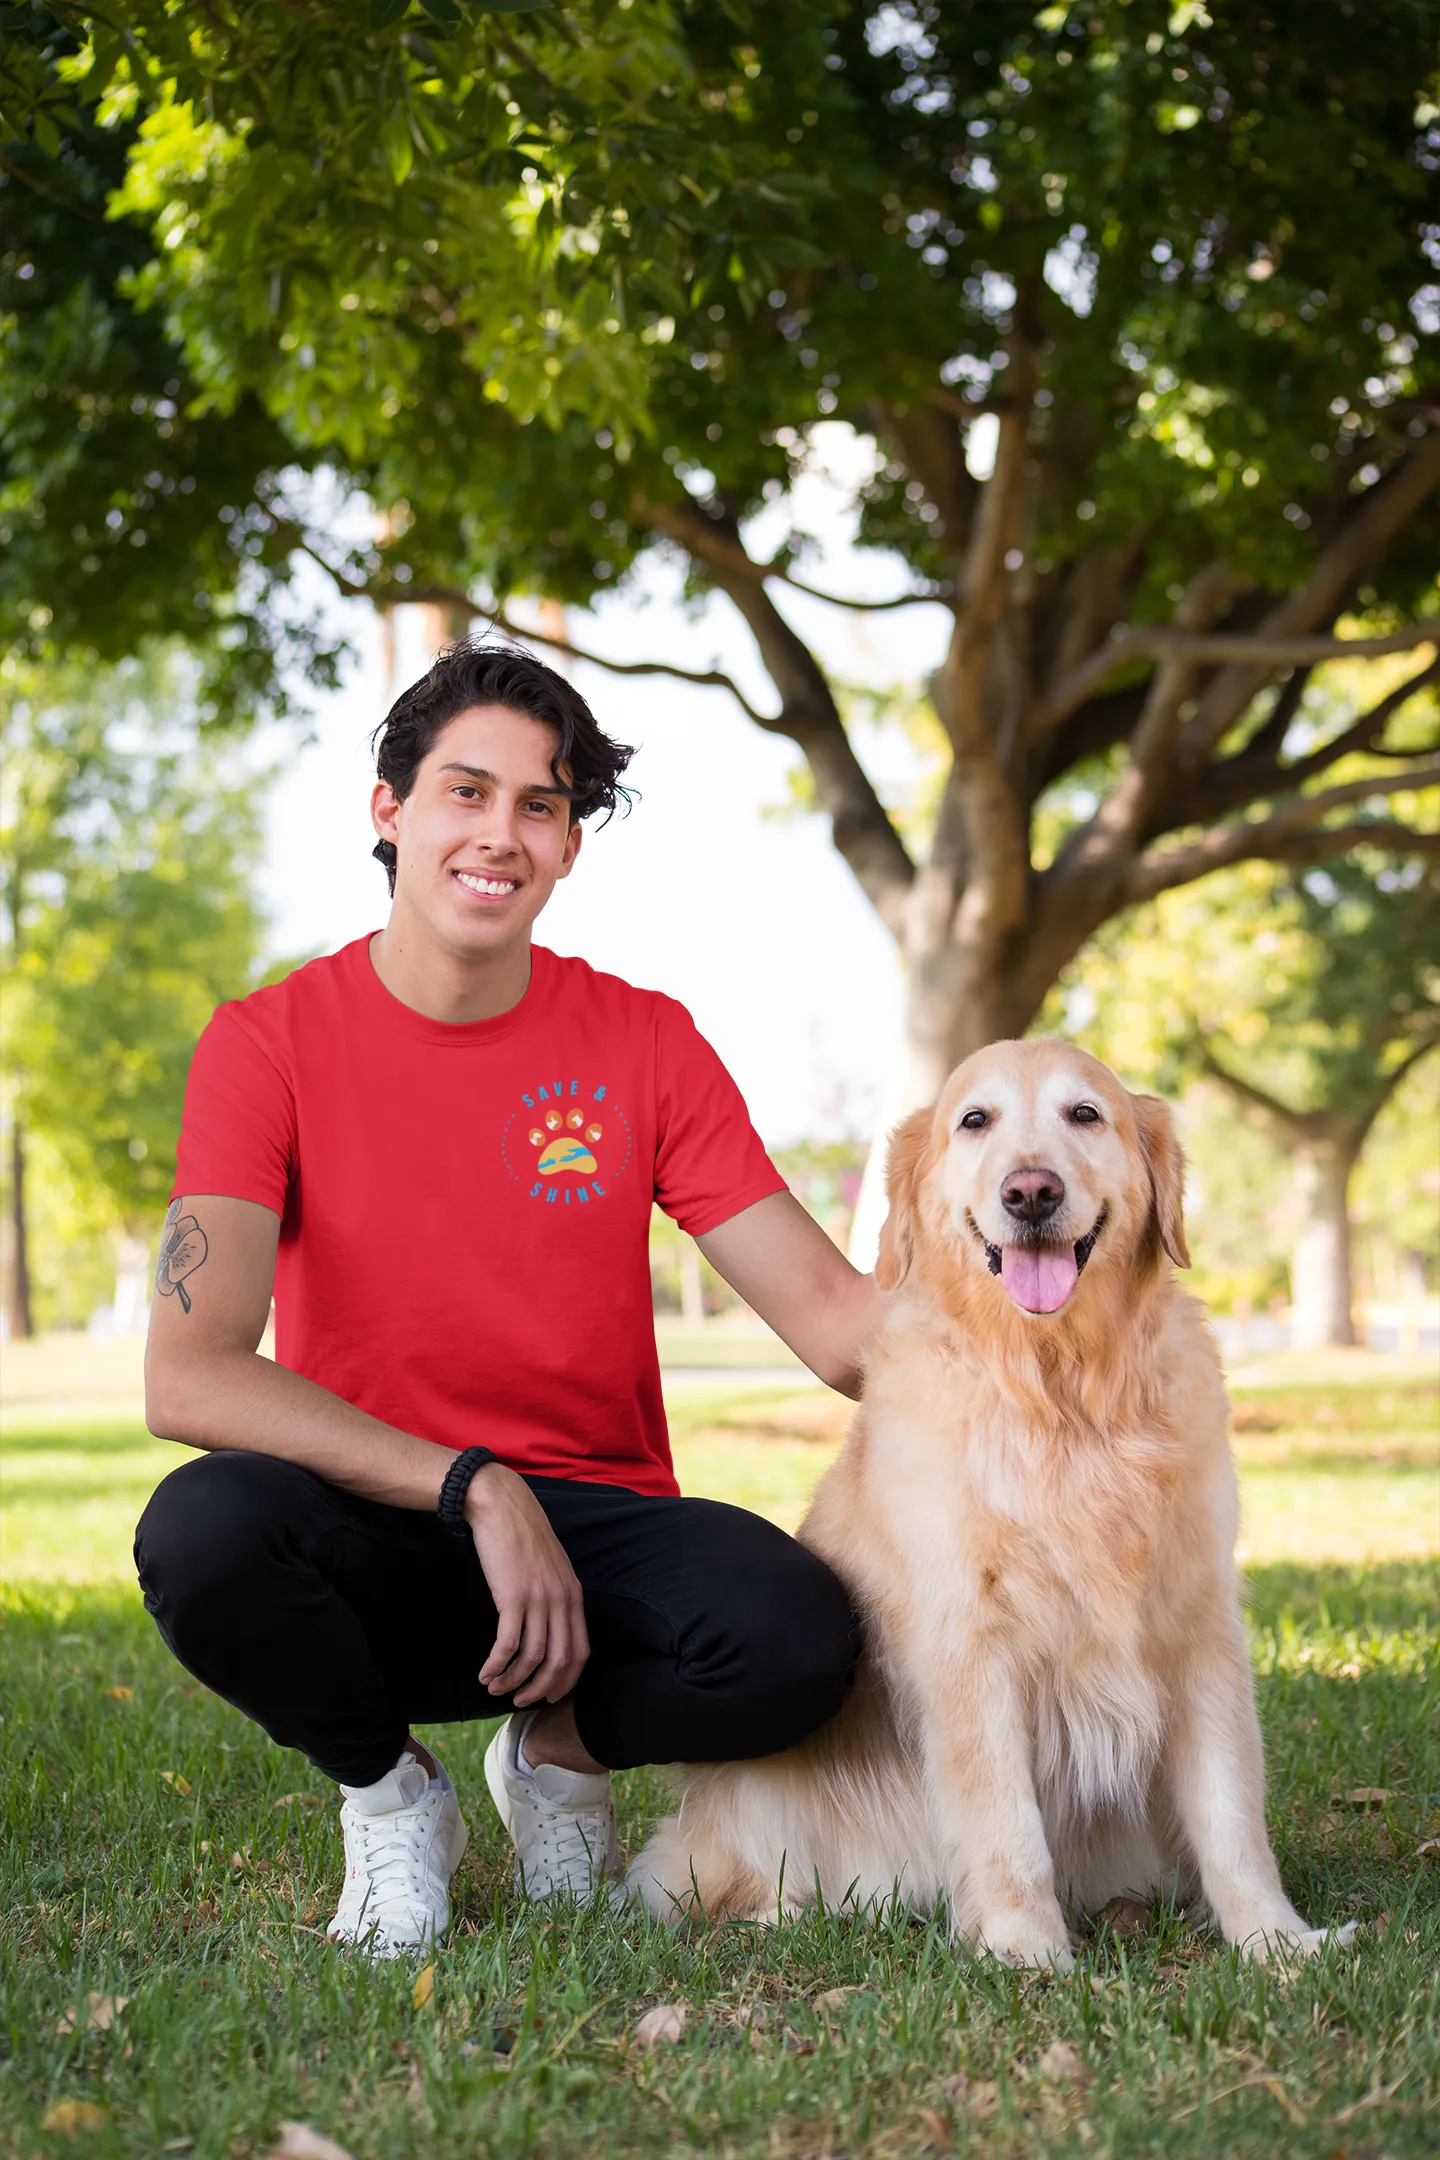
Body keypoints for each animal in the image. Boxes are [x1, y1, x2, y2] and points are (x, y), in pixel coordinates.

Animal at [630, 1036, 1355, 1969]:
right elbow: (1004, 1821)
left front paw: (1275, 1941)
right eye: (975, 1121)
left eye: (1086, 1114)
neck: (1060, 1391)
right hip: (752, 1803)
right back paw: (792, 1914)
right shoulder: (969, 1642)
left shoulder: (1199, 1627)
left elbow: (1230, 1811)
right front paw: (1026, 1953)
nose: (1031, 1191)